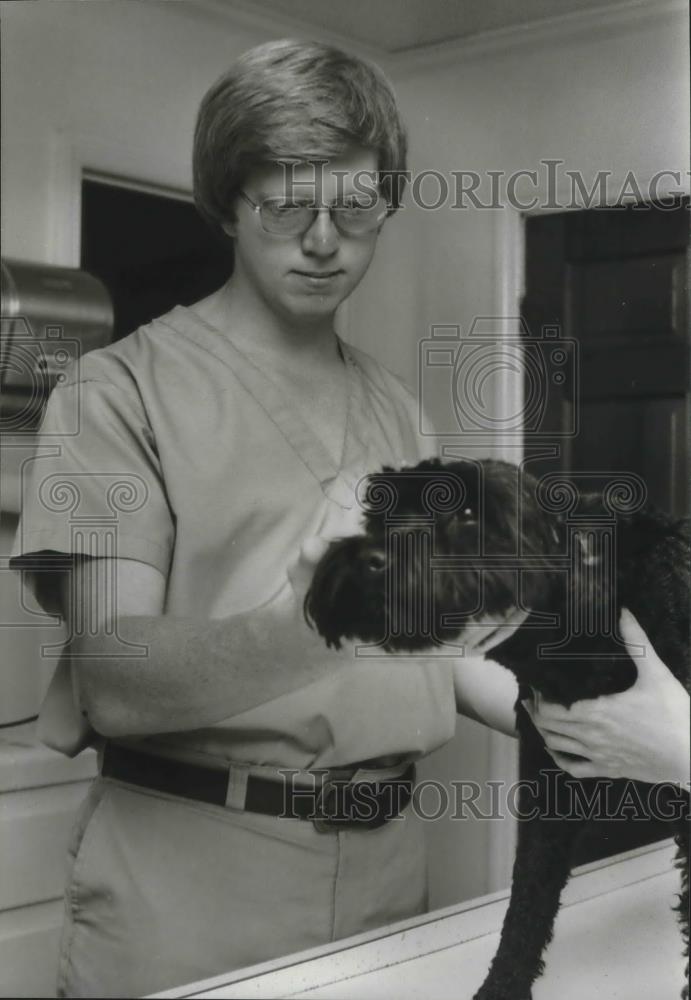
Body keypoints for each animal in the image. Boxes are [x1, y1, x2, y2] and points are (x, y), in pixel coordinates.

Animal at [306, 458, 688, 1000]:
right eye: (381, 514)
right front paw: (502, 985)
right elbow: (525, 907)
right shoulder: (546, 798)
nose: (367, 560)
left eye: (468, 512)